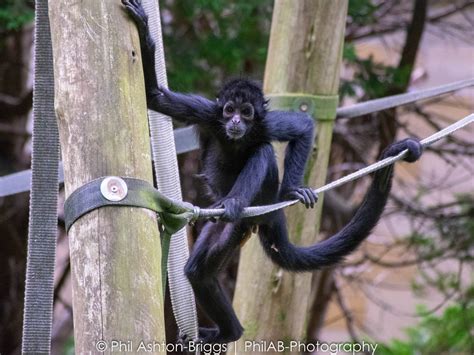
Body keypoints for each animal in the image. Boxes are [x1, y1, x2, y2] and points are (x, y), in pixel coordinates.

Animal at [122, 0, 422, 344]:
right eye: (230, 110)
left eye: (246, 112)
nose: (235, 121)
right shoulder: (208, 113)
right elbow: (155, 97)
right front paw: (144, 29)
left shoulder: (263, 124)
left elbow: (302, 127)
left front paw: (292, 189)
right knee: (197, 271)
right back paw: (230, 330)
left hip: (248, 214)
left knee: (262, 153)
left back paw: (235, 205)